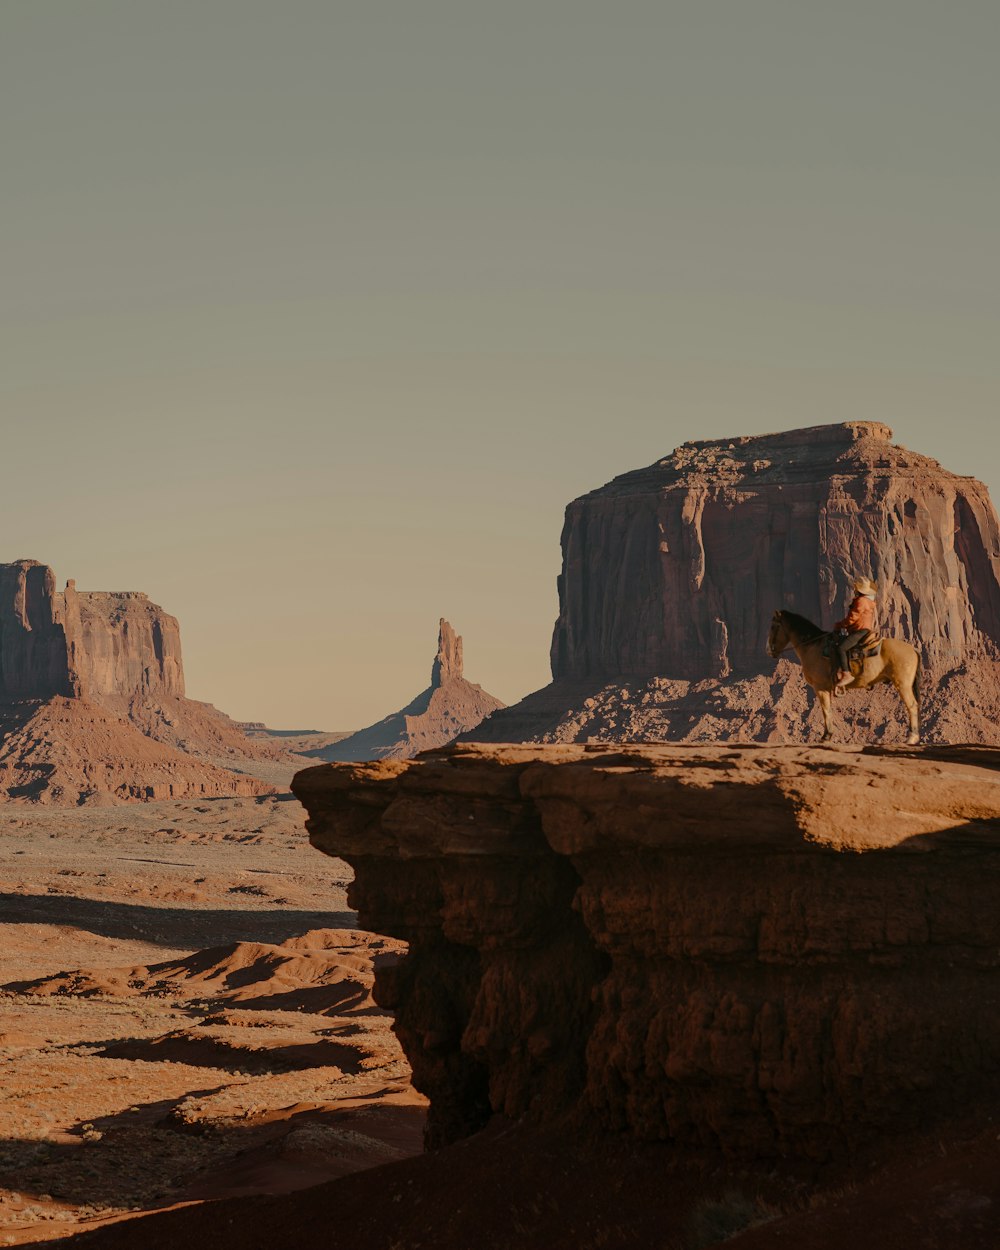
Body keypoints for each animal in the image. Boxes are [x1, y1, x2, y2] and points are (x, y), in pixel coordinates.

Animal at [765, 612, 920, 745]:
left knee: (912, 705)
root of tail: (913, 649)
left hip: (903, 685)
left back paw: (912, 738)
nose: (768, 651)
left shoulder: (820, 687)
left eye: (773, 626)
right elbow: (828, 709)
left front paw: (826, 736)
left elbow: (825, 709)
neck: (812, 646)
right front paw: (828, 734)